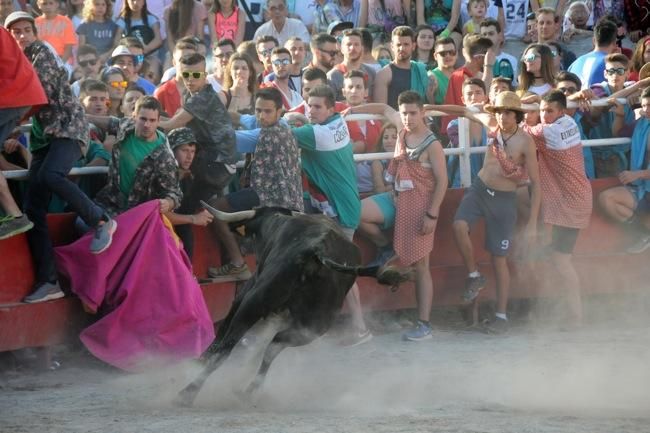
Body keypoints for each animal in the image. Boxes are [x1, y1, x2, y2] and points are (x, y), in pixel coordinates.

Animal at [173, 202, 410, 404]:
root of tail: (317, 252)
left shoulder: (245, 295)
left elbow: (223, 334)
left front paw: (198, 361)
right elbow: (260, 344)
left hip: (255, 302)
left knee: (228, 347)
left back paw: (187, 393)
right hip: (314, 325)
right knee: (274, 346)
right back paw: (248, 390)